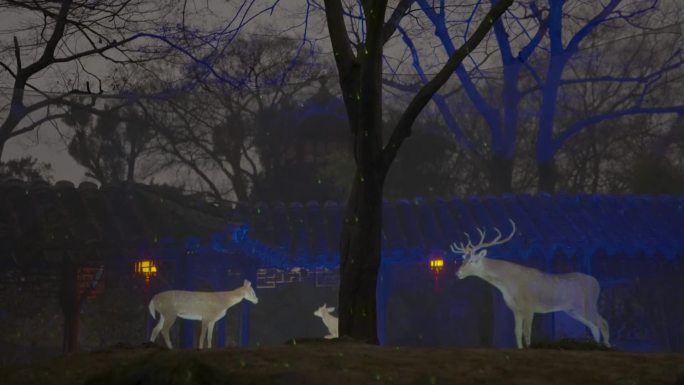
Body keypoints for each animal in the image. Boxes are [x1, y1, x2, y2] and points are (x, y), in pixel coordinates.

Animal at [452, 219, 612, 348]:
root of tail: (597, 283)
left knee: (603, 322)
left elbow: (527, 332)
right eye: (463, 259)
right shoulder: (515, 309)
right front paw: (520, 348)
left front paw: (529, 348)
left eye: (473, 261)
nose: (458, 273)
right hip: (573, 310)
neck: (509, 284)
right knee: (594, 326)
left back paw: (607, 346)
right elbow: (517, 332)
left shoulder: (530, 305)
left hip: (587, 304)